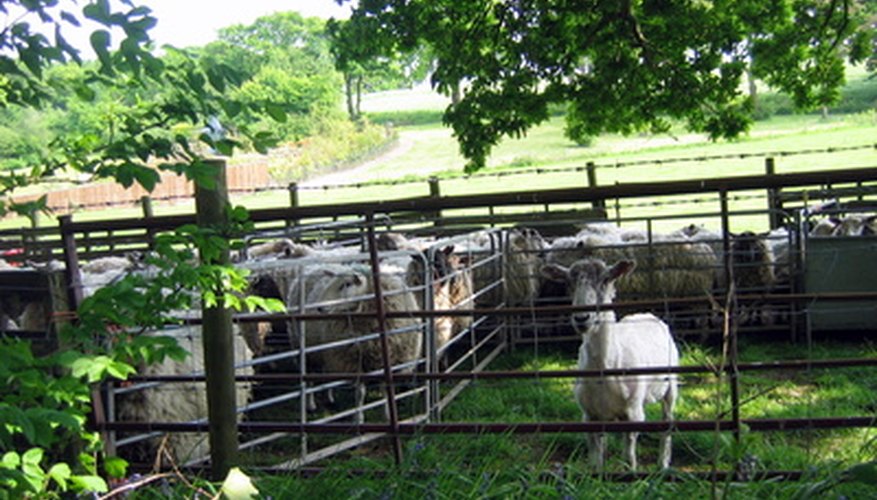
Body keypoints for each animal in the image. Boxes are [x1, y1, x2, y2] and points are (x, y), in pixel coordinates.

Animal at [540, 260, 676, 470]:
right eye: (568, 282)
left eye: (605, 279)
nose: (582, 318)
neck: (605, 365)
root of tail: (646, 314)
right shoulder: (589, 416)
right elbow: (596, 460)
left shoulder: (634, 413)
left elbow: (629, 456)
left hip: (671, 386)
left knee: (667, 421)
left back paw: (663, 464)